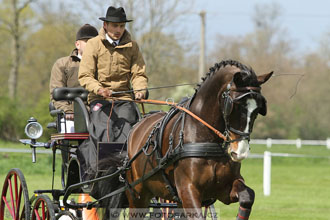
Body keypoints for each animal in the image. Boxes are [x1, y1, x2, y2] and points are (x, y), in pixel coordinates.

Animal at [125, 59, 272, 219]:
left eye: (258, 109)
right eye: (235, 105)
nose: (240, 152)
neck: (205, 138)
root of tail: (138, 125)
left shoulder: (223, 189)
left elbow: (247, 196)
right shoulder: (188, 189)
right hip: (137, 196)